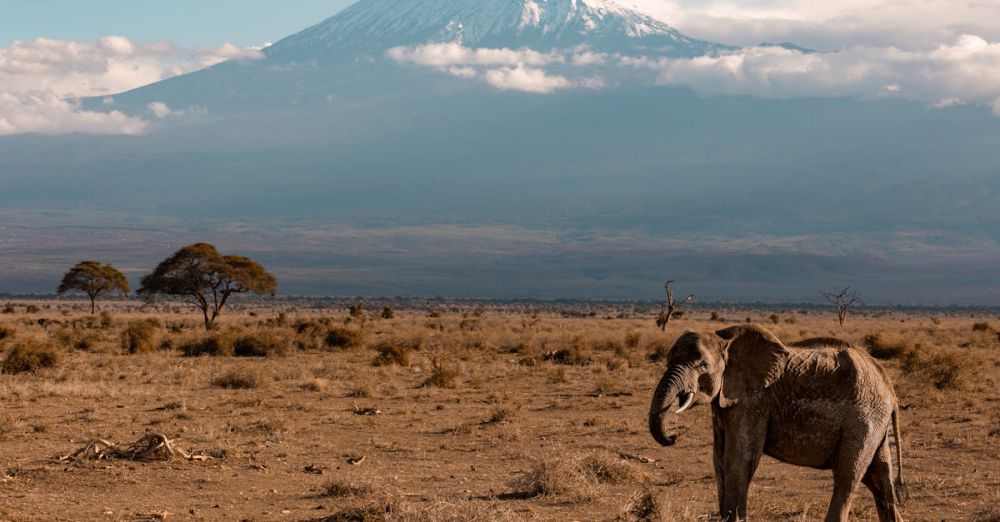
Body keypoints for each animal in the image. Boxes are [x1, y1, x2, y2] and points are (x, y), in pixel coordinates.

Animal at [648, 322, 908, 516]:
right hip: (875, 423)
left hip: (863, 419)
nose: (674, 436)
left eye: (702, 365)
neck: (725, 340)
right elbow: (719, 459)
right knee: (881, 481)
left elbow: (739, 459)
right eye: (668, 360)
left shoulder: (754, 402)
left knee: (848, 476)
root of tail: (889, 388)